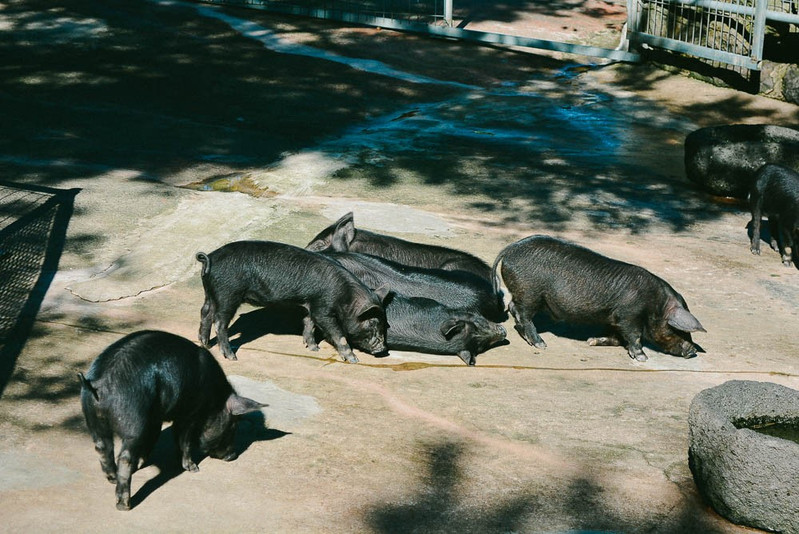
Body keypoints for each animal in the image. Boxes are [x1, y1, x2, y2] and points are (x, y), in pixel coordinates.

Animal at [79, 332, 266, 512]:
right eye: (233, 426)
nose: (233, 456)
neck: (214, 399)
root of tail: (99, 384)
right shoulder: (190, 414)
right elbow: (185, 441)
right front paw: (193, 468)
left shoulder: (157, 418)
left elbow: (159, 437)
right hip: (133, 424)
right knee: (124, 457)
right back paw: (125, 505)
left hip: (92, 418)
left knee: (102, 447)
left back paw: (111, 478)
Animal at [198, 242, 390, 364]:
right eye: (372, 323)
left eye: (384, 322)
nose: (383, 350)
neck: (346, 297)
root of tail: (210, 258)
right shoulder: (323, 306)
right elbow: (337, 333)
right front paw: (354, 360)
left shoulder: (311, 304)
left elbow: (309, 324)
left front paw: (313, 349)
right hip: (228, 294)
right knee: (219, 322)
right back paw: (232, 357)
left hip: (211, 294)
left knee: (205, 312)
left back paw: (204, 344)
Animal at [494, 237, 708, 362]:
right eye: (677, 330)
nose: (692, 351)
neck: (655, 304)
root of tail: (510, 249)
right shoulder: (628, 315)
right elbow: (634, 336)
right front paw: (642, 358)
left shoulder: (614, 319)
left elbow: (616, 337)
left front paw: (591, 341)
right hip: (530, 293)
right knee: (521, 312)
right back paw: (541, 344)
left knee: (513, 306)